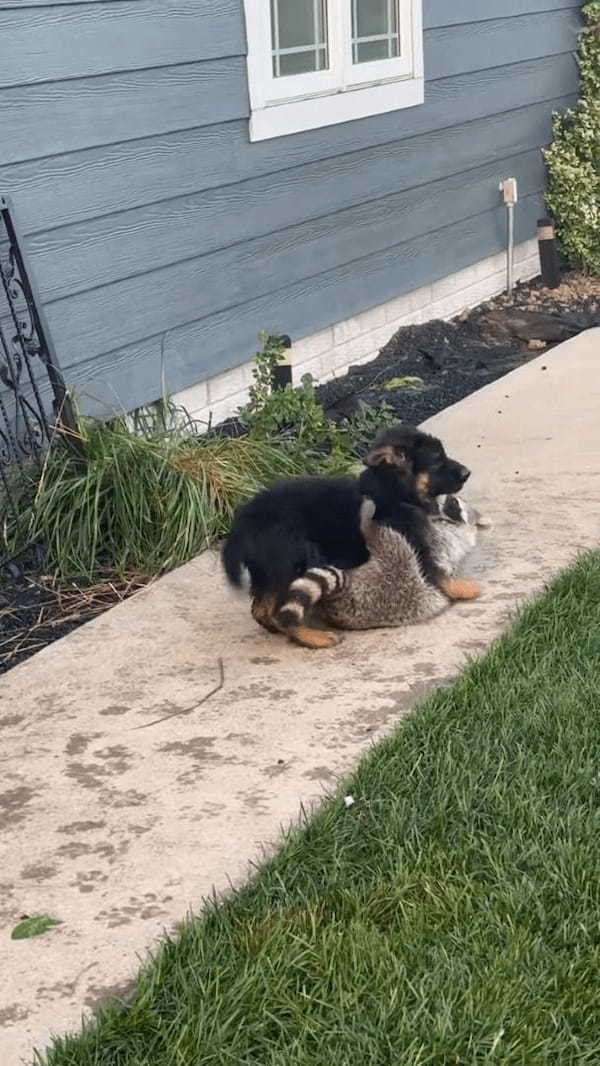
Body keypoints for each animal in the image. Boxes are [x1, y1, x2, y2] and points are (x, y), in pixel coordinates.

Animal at [277, 496, 492, 639]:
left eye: (453, 502)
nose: (435, 500)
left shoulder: (441, 542)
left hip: (397, 570)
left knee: (386, 538)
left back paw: (367, 522)